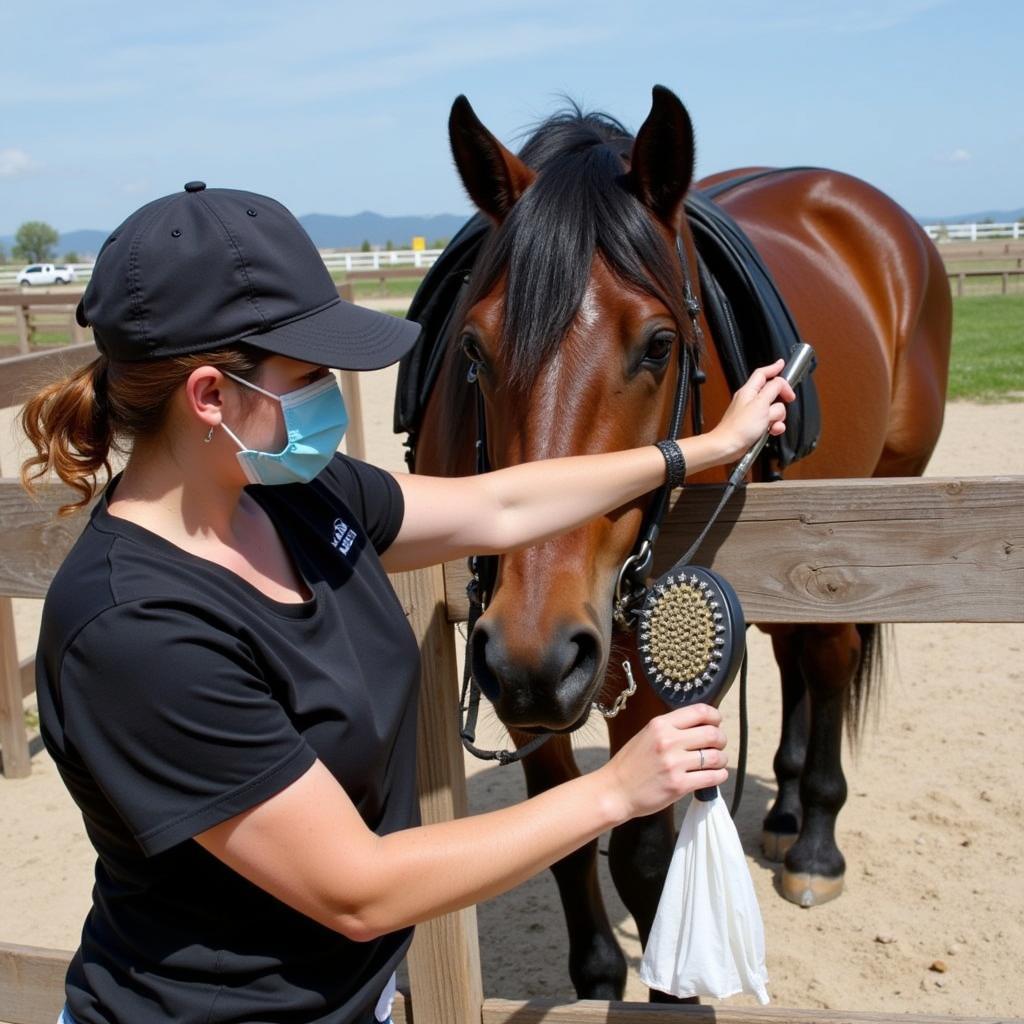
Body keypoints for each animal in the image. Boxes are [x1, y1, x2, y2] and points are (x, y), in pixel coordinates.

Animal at [405, 86, 950, 999]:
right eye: (474, 349)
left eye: (659, 344)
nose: (536, 649)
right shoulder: (520, 668)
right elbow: (561, 837)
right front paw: (596, 979)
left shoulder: (650, 647)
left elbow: (645, 858)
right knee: (793, 658)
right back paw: (786, 809)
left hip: (861, 516)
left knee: (829, 659)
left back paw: (814, 843)